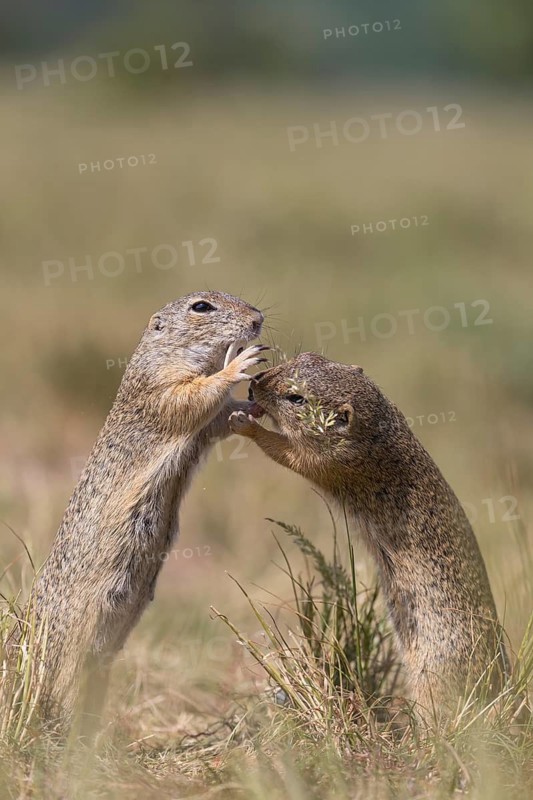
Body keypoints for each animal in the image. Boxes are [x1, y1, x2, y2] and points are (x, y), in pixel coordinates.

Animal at [29, 291, 266, 729]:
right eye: (201, 307)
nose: (257, 319)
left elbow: (219, 418)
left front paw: (253, 408)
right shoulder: (160, 387)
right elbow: (193, 398)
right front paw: (239, 362)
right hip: (73, 647)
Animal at [229, 352, 508, 714]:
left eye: (297, 399)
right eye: (306, 356)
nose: (254, 382)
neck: (377, 429)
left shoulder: (326, 460)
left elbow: (284, 450)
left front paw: (244, 424)